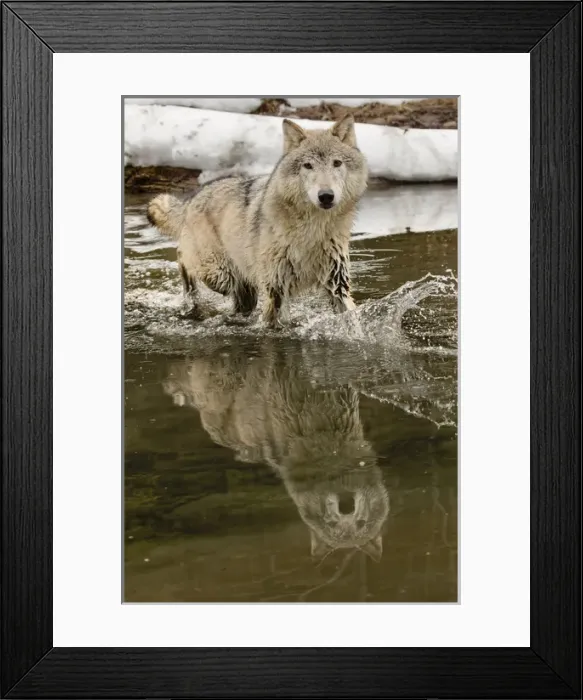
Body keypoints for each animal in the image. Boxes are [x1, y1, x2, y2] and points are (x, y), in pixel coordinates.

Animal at [147, 115, 368, 325]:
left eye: (337, 163)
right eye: (308, 166)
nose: (326, 196)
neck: (312, 230)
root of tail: (192, 200)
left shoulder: (337, 286)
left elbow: (352, 319)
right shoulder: (275, 290)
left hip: (243, 290)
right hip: (221, 276)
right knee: (182, 258)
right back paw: (189, 295)